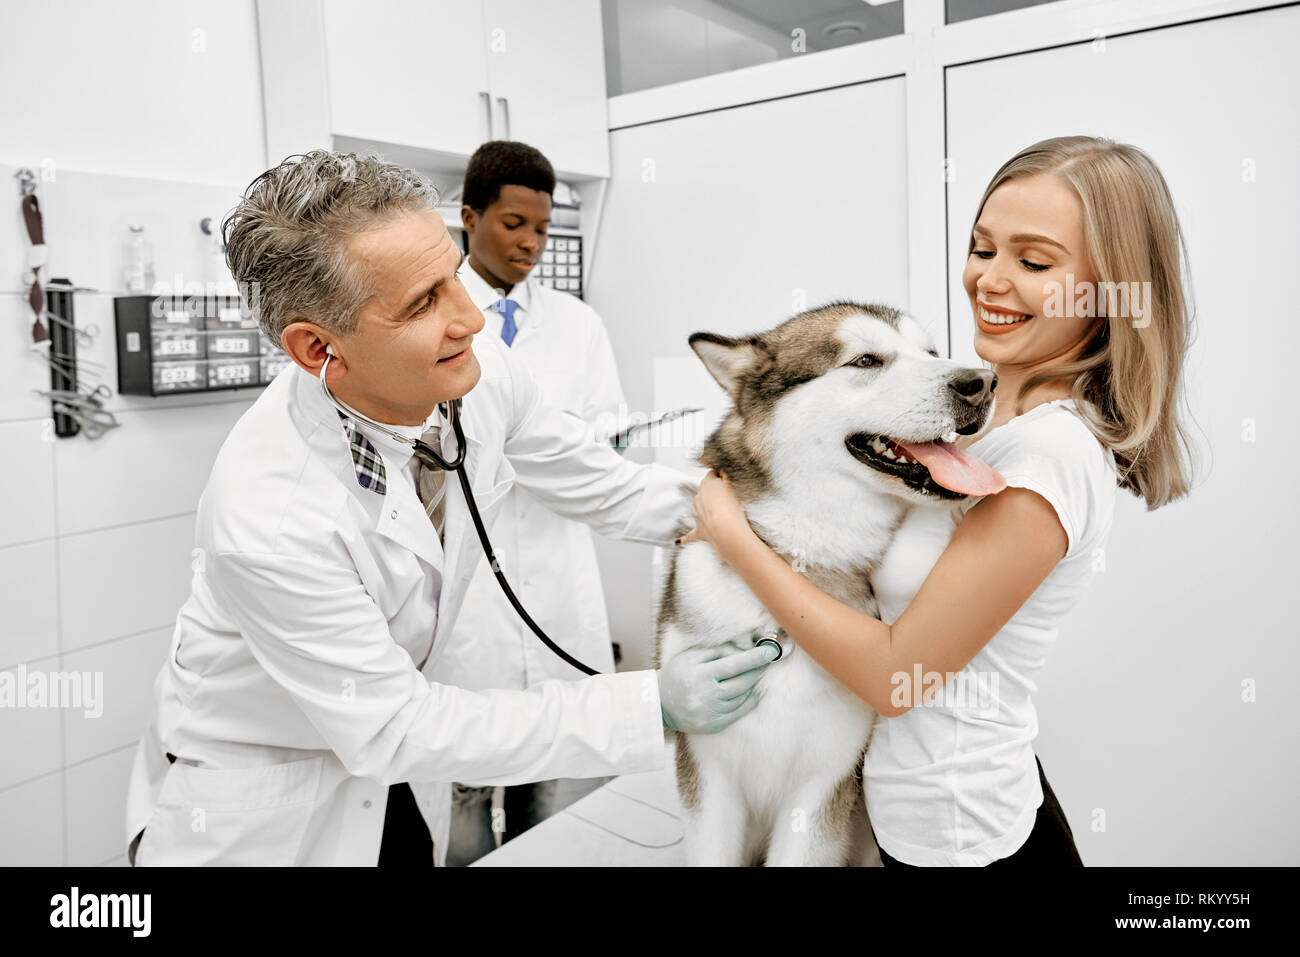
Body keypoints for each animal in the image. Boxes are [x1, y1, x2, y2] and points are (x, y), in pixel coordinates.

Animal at [660, 300, 1003, 868]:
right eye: (865, 360)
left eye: (930, 352)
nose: (983, 381)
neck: (797, 568)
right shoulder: (709, 779)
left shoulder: (823, 784)